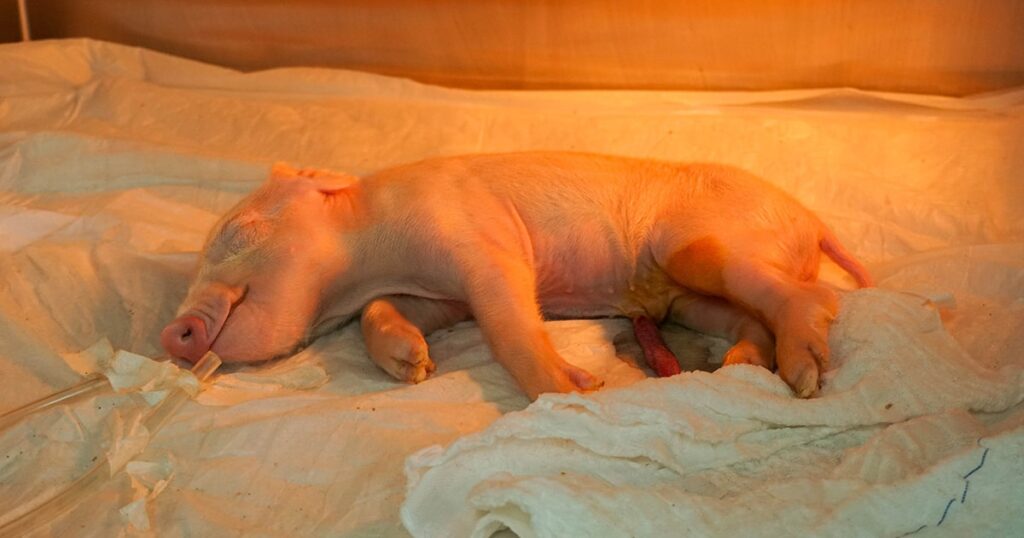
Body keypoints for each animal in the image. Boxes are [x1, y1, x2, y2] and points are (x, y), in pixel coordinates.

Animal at [161, 152, 872, 399]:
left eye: (235, 233)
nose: (171, 335)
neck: (373, 257)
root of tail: (812, 221)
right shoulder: (437, 295)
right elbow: (385, 314)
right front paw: (412, 367)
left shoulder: (479, 237)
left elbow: (507, 318)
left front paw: (577, 389)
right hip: (685, 300)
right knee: (747, 318)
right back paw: (740, 366)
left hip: (695, 245)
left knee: (815, 296)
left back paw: (804, 376)